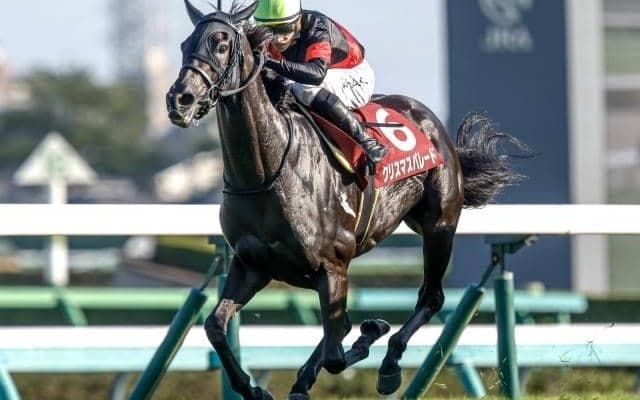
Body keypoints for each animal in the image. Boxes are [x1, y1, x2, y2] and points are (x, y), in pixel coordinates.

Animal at [166, 2, 527, 399]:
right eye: (184, 44)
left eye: (221, 44)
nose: (179, 100)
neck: (265, 172)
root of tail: (431, 121)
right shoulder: (253, 265)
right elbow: (215, 326)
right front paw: (253, 388)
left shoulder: (333, 265)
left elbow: (337, 355)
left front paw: (372, 335)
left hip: (439, 227)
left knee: (430, 298)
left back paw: (388, 363)